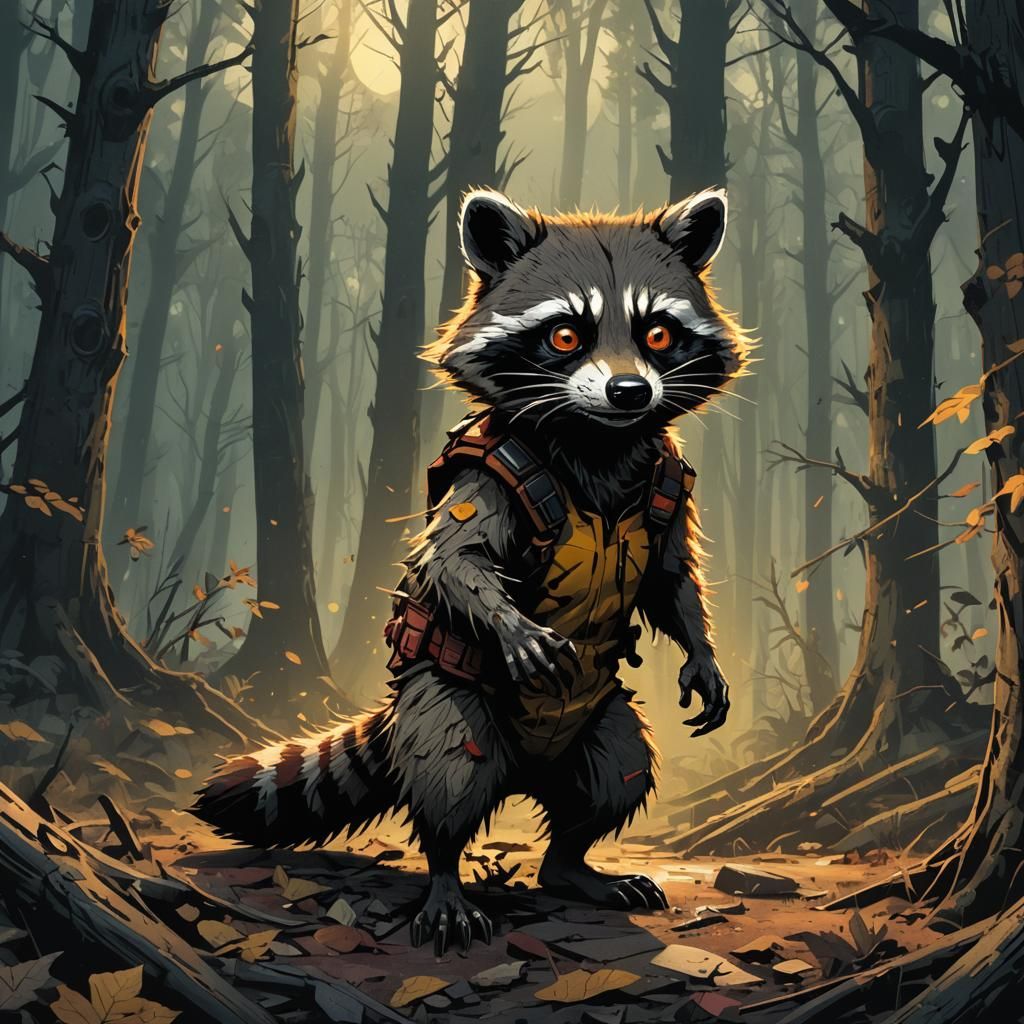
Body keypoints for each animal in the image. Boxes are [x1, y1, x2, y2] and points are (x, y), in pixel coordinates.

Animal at [195, 188, 748, 955]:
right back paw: (447, 876)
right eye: (566, 336)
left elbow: (672, 579)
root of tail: (527, 773)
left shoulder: (667, 480)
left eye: (658, 335)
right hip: (444, 699)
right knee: (452, 773)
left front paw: (702, 653)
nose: (630, 392)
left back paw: (570, 864)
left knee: (619, 771)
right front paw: (508, 619)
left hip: (599, 719)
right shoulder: (493, 470)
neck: (595, 442)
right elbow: (457, 558)